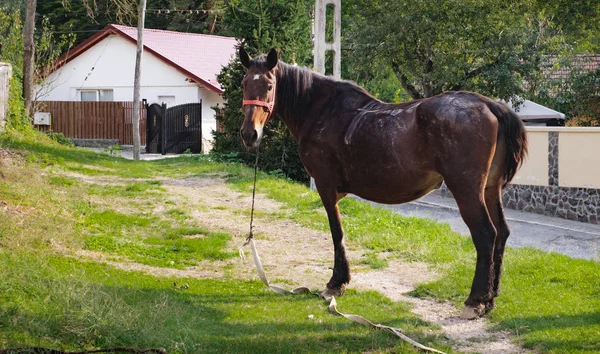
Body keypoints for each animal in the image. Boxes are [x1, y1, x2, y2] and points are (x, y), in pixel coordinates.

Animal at [237, 47, 528, 318]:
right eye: (244, 83)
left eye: (270, 85)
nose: (250, 134)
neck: (321, 109)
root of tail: (489, 105)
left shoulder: (325, 185)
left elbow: (336, 232)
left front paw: (336, 283)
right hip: (489, 189)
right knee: (502, 233)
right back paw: (490, 298)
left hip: (466, 189)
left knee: (485, 234)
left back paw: (475, 300)